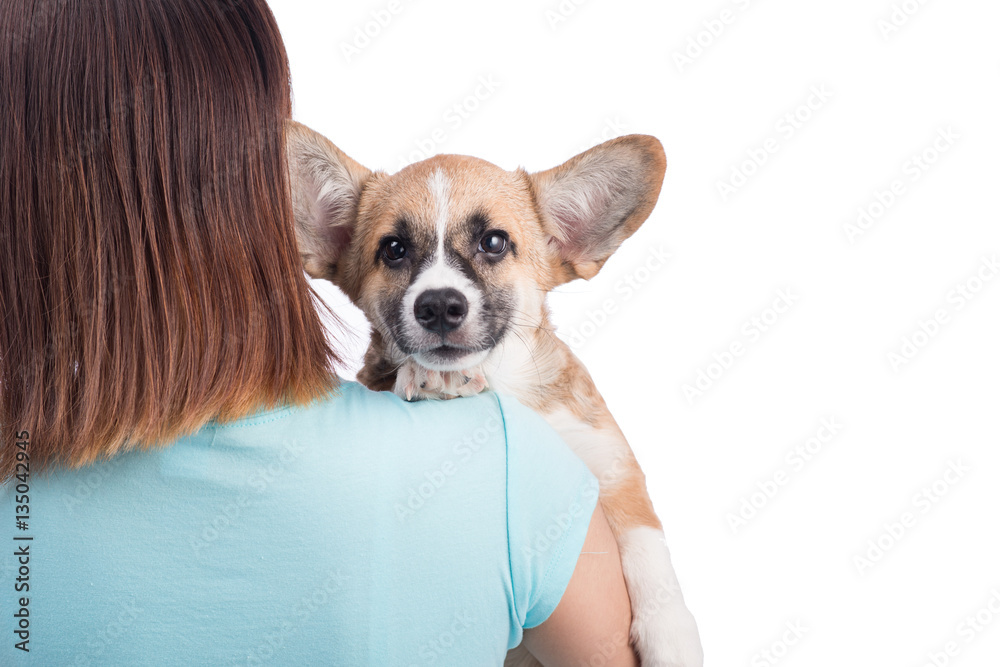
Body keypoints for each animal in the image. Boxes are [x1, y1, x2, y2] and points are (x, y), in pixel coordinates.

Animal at [286, 121, 700, 667]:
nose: (439, 305)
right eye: (393, 248)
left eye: (495, 242)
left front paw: (671, 634)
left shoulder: (610, 463)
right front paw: (427, 380)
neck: (500, 383)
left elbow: (646, 539)